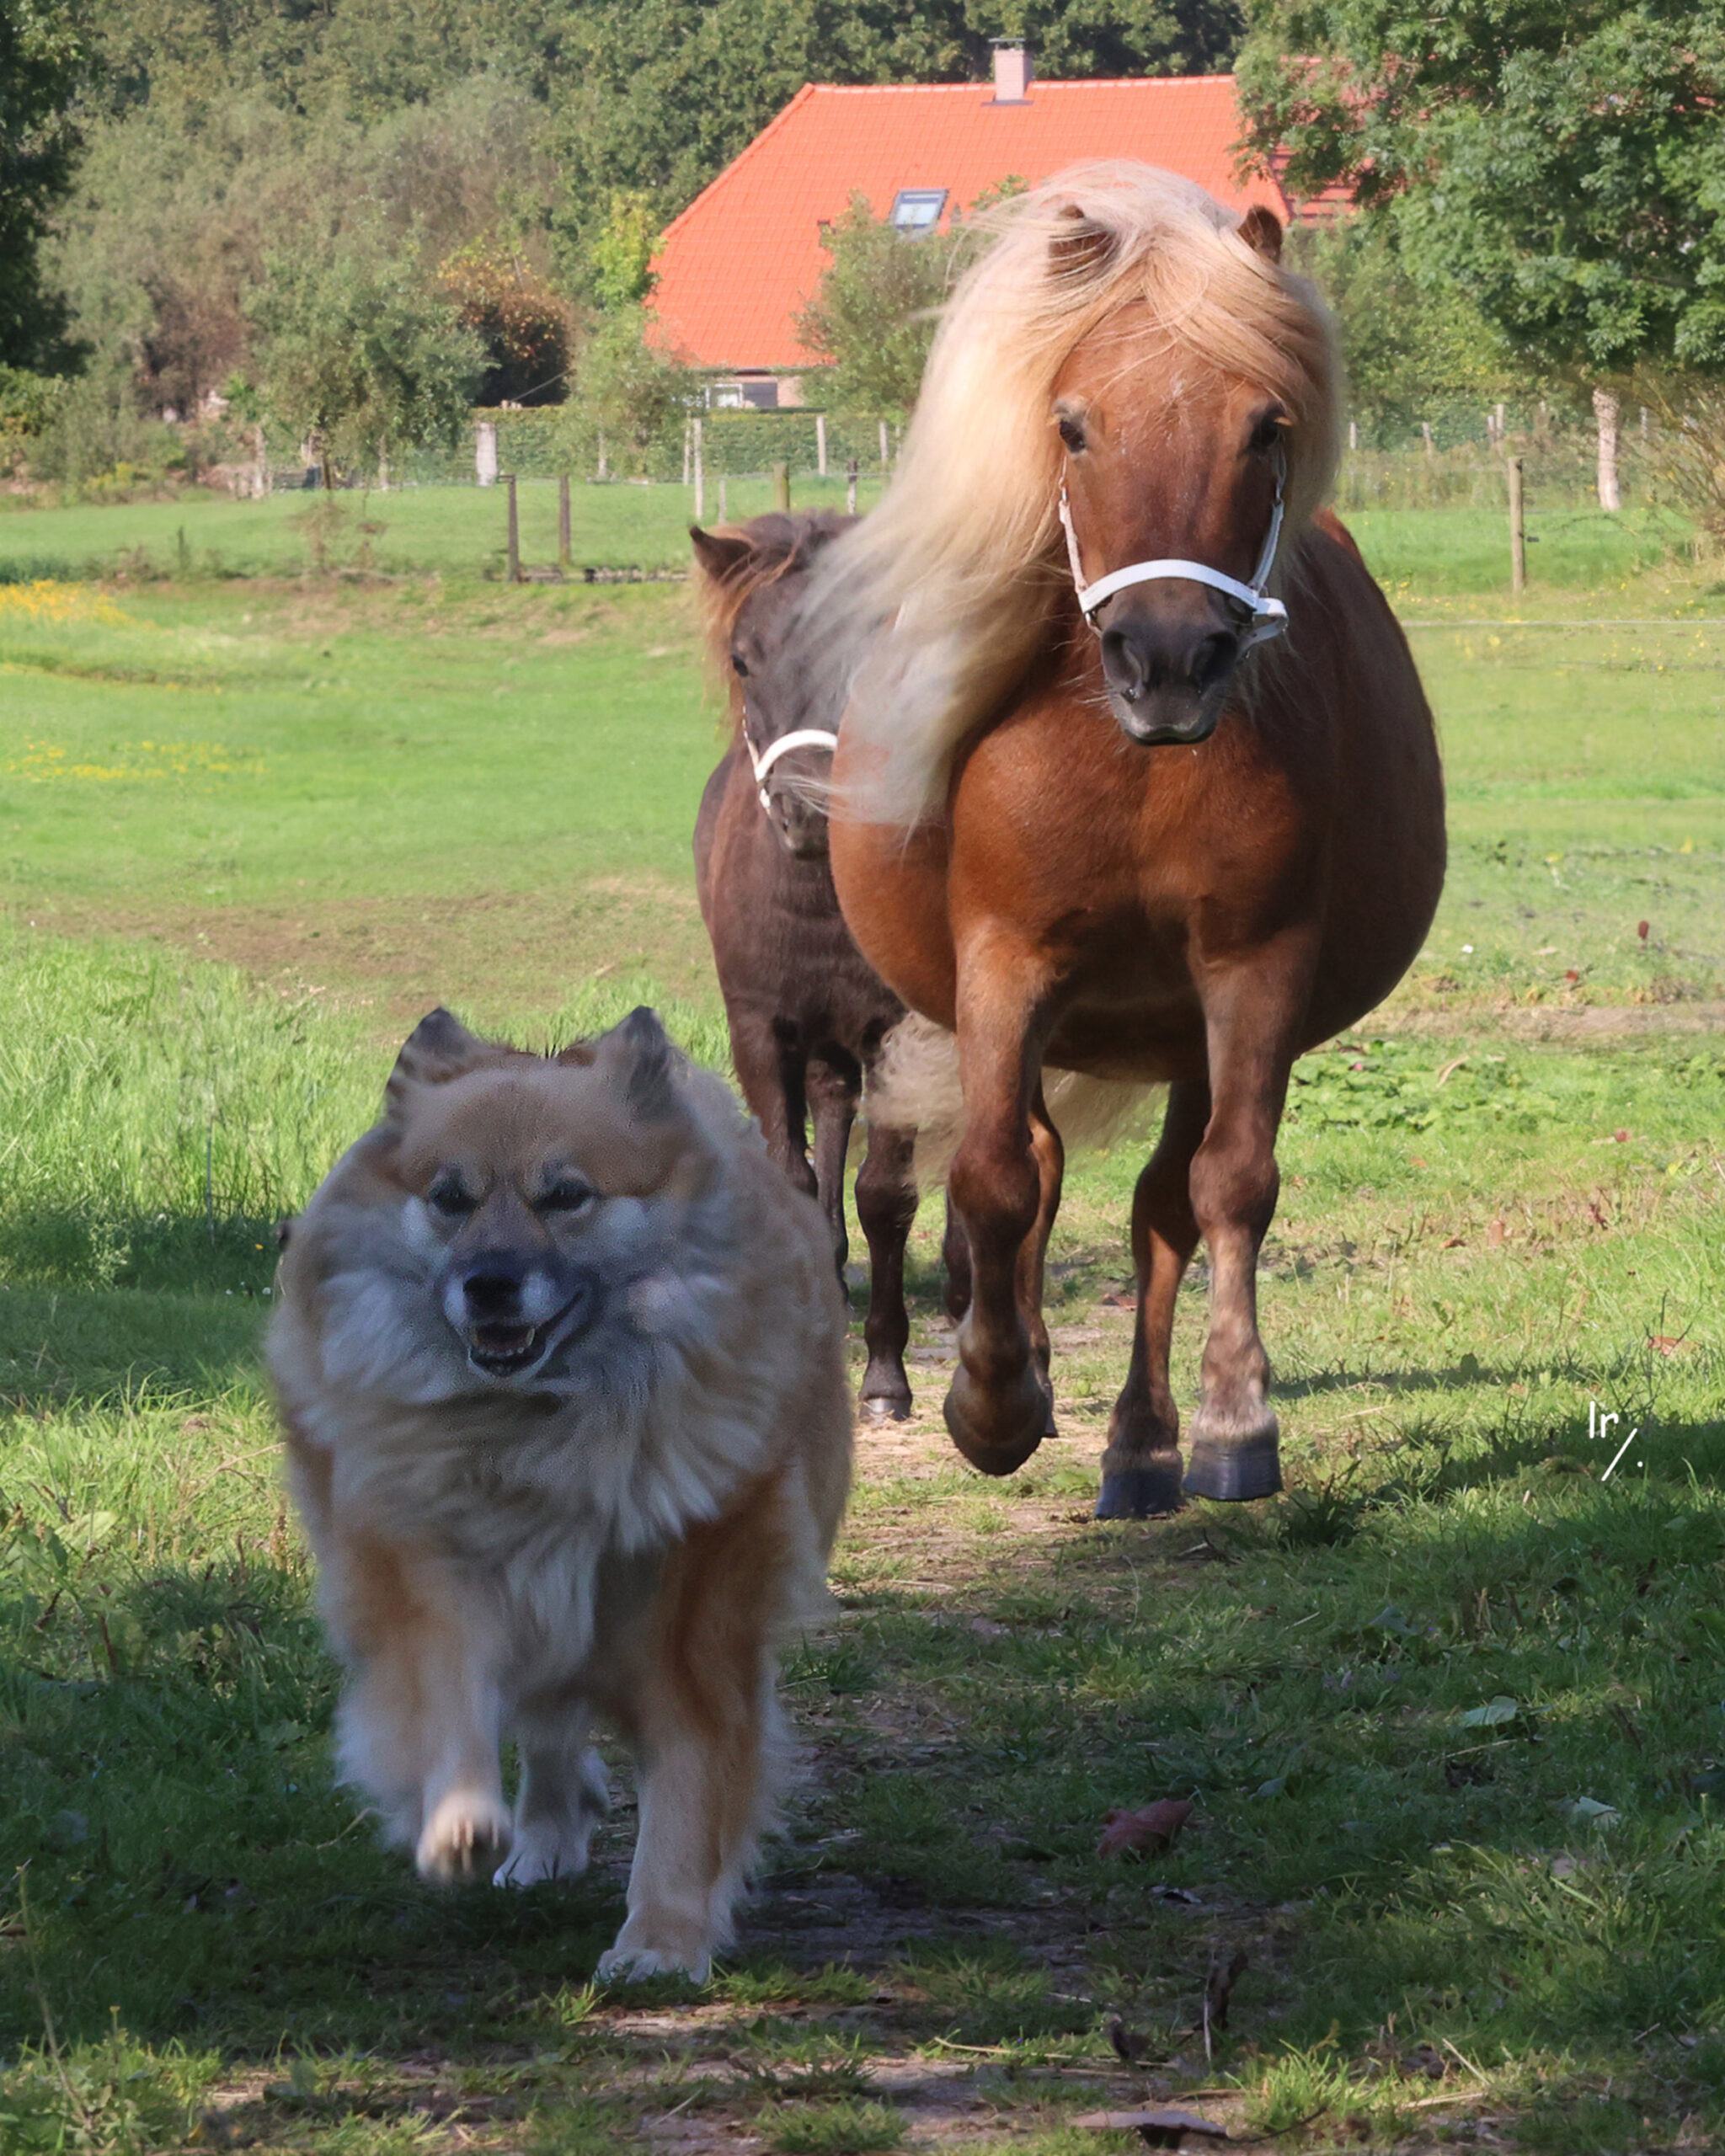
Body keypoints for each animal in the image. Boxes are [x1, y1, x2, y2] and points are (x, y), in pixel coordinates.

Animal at [266, 1000, 853, 1974]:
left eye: (566, 1196)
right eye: (449, 1198)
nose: (489, 1283)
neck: (544, 1430)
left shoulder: (693, 1612)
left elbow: (693, 1774)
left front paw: (663, 1936)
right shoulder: (429, 1573)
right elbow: (448, 1699)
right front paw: (460, 1821)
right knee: (545, 1726)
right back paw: (539, 1838)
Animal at [694, 502, 922, 1414]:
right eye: (742, 656)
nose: (808, 810)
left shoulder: (899, 1033)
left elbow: (885, 1194)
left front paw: (886, 1374)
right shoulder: (762, 1031)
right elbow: (795, 1180)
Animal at [814, 168, 1449, 1518]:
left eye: (1265, 427)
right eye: (1072, 426)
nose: (1166, 661)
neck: (1134, 767)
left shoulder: (1254, 969)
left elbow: (1228, 1184)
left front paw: (1231, 1416)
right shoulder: (1005, 963)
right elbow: (994, 1179)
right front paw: (990, 1402)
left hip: (1189, 1030)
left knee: (1165, 1203)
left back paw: (1141, 1441)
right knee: (1037, 1167)